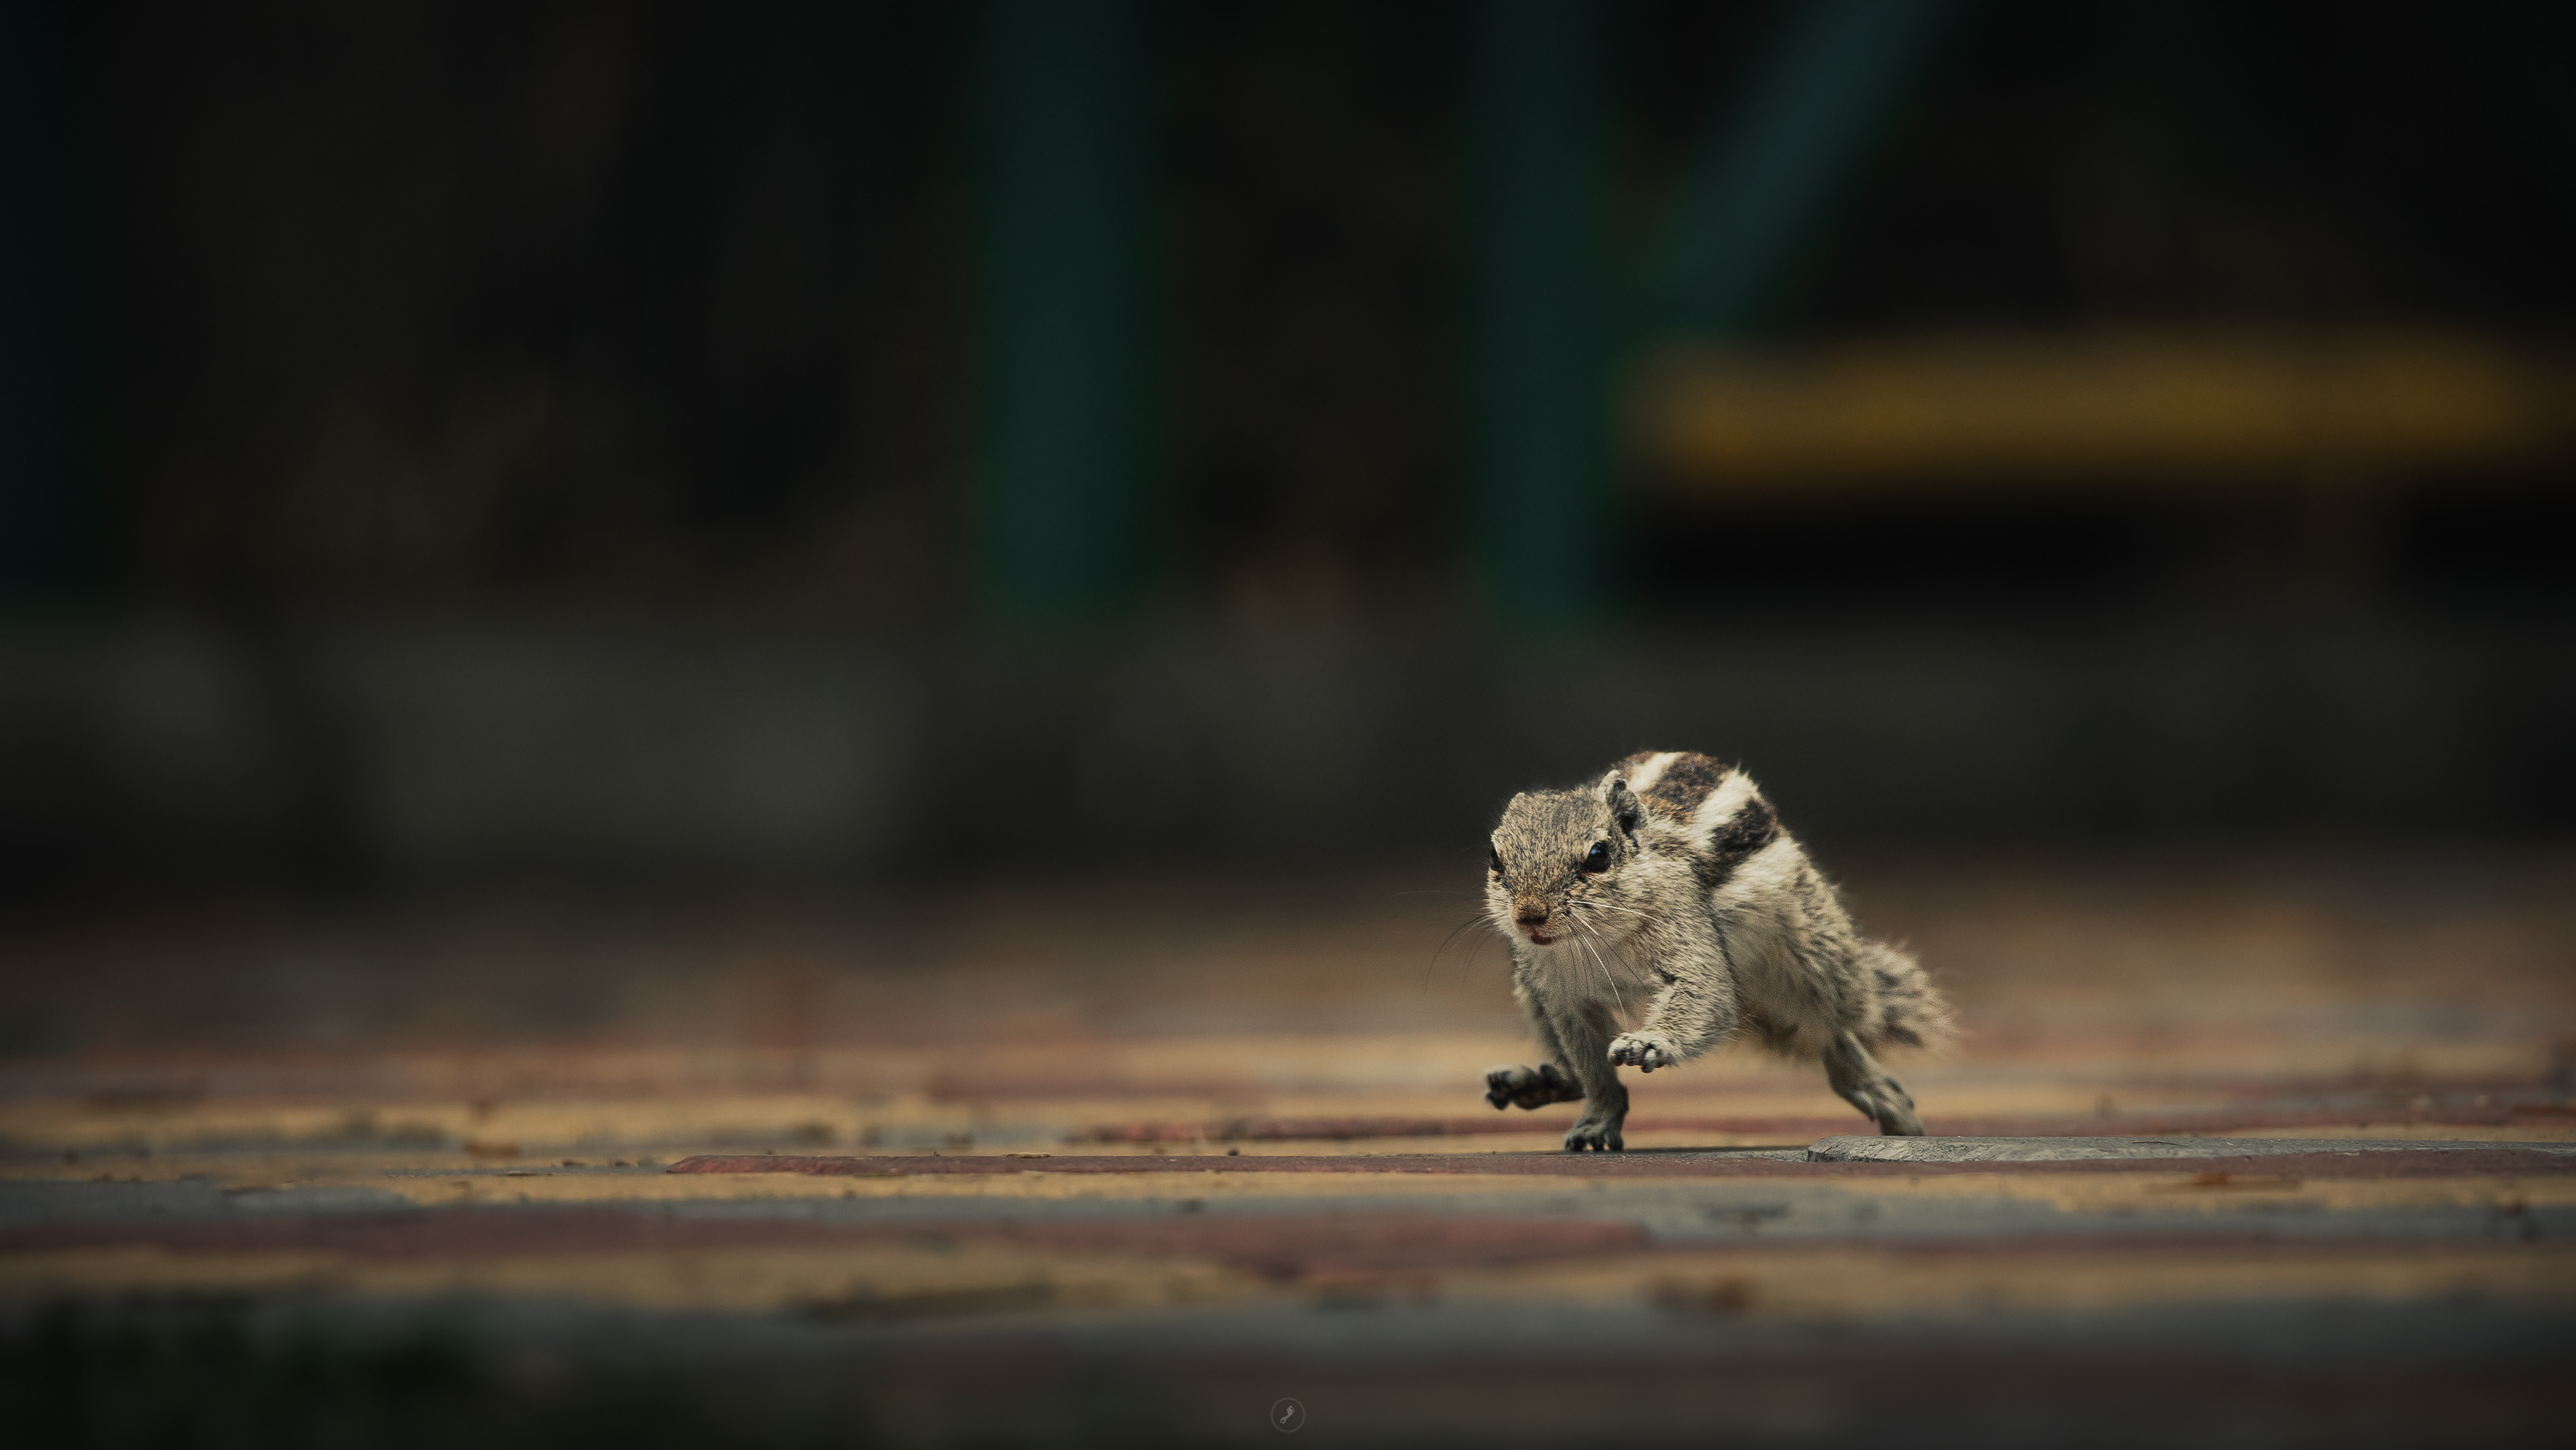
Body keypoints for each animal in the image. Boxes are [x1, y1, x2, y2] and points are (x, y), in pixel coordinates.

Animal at [1481, 750, 1953, 1152]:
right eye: (1494, 858)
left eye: (1598, 856)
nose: (1529, 915)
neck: (1598, 937)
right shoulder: (1561, 994)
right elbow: (1593, 1071)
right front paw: (1598, 1122)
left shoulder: (1686, 931)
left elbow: (1706, 992)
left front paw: (1649, 1042)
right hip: (1528, 989)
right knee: (1572, 1073)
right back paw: (1540, 1083)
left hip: (1819, 959)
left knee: (1834, 1026)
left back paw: (1879, 1093)